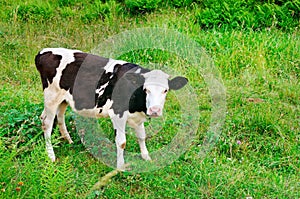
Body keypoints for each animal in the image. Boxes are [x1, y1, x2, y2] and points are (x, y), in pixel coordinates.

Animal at [35, 47, 188, 169]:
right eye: (146, 89)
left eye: (165, 90)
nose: (154, 110)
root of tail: (44, 51)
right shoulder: (117, 114)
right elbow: (121, 142)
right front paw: (120, 167)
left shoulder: (138, 117)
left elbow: (142, 136)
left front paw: (146, 157)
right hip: (51, 96)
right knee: (46, 122)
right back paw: (51, 155)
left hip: (63, 98)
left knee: (58, 116)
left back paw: (68, 140)